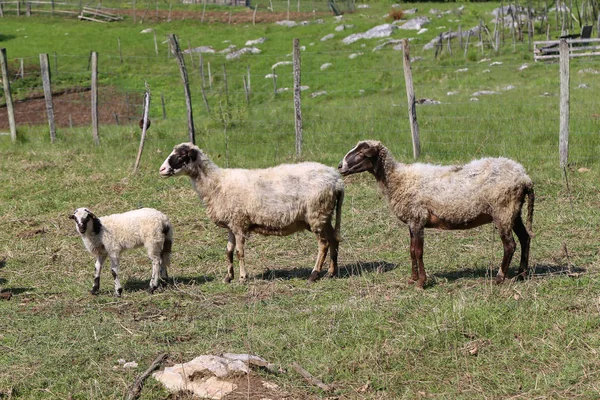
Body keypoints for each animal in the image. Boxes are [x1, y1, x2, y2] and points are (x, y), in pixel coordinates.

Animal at [159, 142, 344, 282]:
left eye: (181, 156)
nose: (161, 170)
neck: (217, 184)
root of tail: (337, 181)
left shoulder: (239, 223)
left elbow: (239, 252)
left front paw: (242, 278)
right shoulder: (231, 224)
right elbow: (228, 251)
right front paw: (228, 277)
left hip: (316, 213)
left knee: (324, 244)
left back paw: (314, 274)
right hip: (325, 215)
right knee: (333, 239)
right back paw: (331, 272)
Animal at [338, 140, 536, 288]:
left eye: (362, 154)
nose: (340, 166)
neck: (397, 179)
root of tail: (524, 177)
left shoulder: (417, 218)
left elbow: (418, 252)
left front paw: (421, 283)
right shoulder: (412, 221)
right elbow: (411, 251)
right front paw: (412, 279)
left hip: (503, 210)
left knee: (510, 245)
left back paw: (500, 278)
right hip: (514, 211)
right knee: (525, 238)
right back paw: (521, 275)